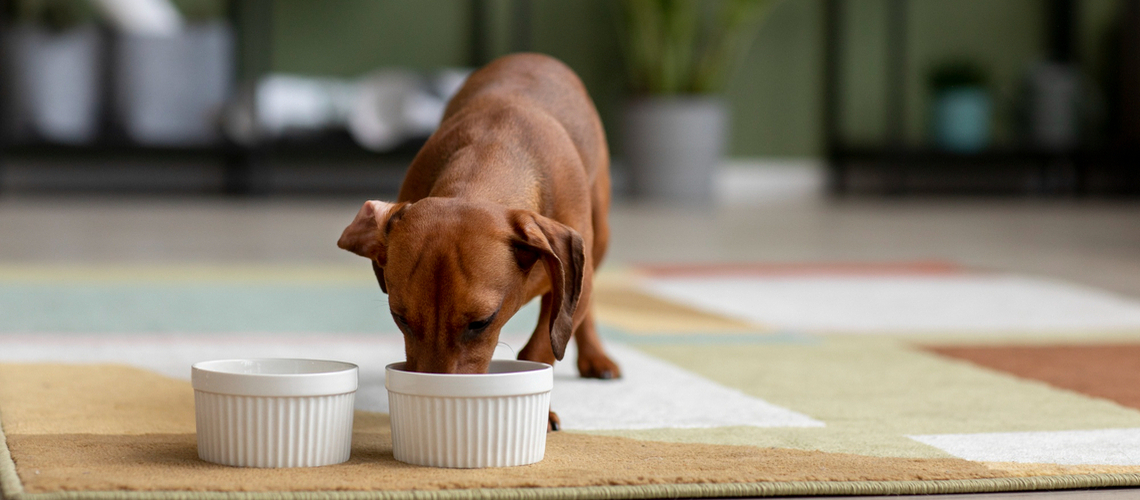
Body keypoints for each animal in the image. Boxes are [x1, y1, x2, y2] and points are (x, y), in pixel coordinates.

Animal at [337, 54, 624, 430]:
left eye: (481, 323)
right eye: (400, 318)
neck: (493, 151)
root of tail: (534, 57)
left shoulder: (571, 281)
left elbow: (541, 349)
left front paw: (542, 412)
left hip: (598, 237)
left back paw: (595, 355)